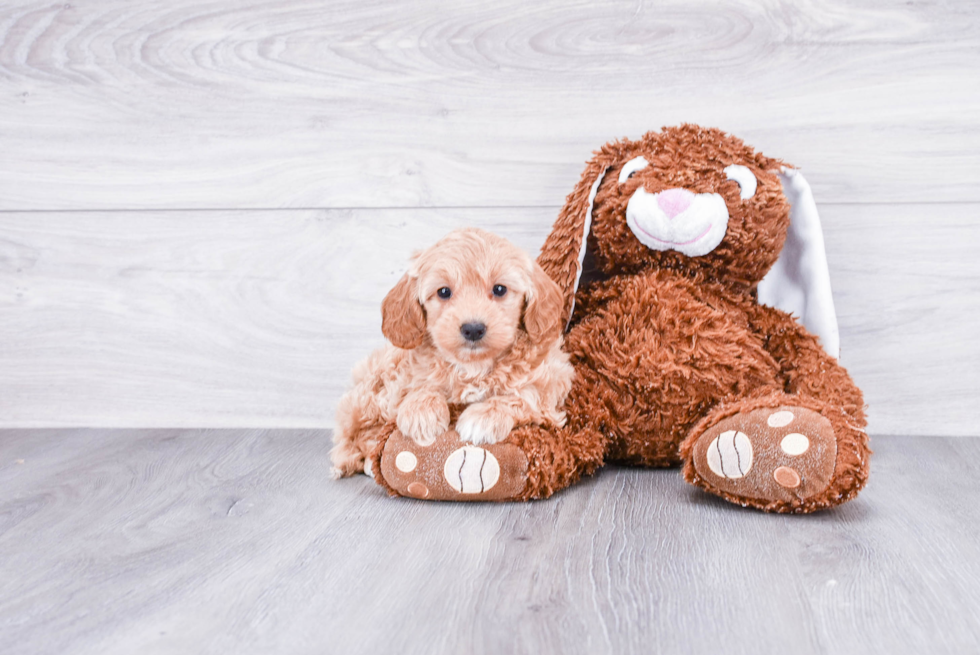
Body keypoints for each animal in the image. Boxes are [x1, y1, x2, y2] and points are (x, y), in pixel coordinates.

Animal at [332, 228, 572, 480]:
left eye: (499, 289)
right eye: (444, 292)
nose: (473, 328)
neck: (473, 366)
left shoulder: (552, 381)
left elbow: (523, 396)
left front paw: (483, 416)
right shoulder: (403, 376)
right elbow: (419, 387)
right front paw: (422, 413)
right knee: (351, 440)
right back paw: (370, 461)